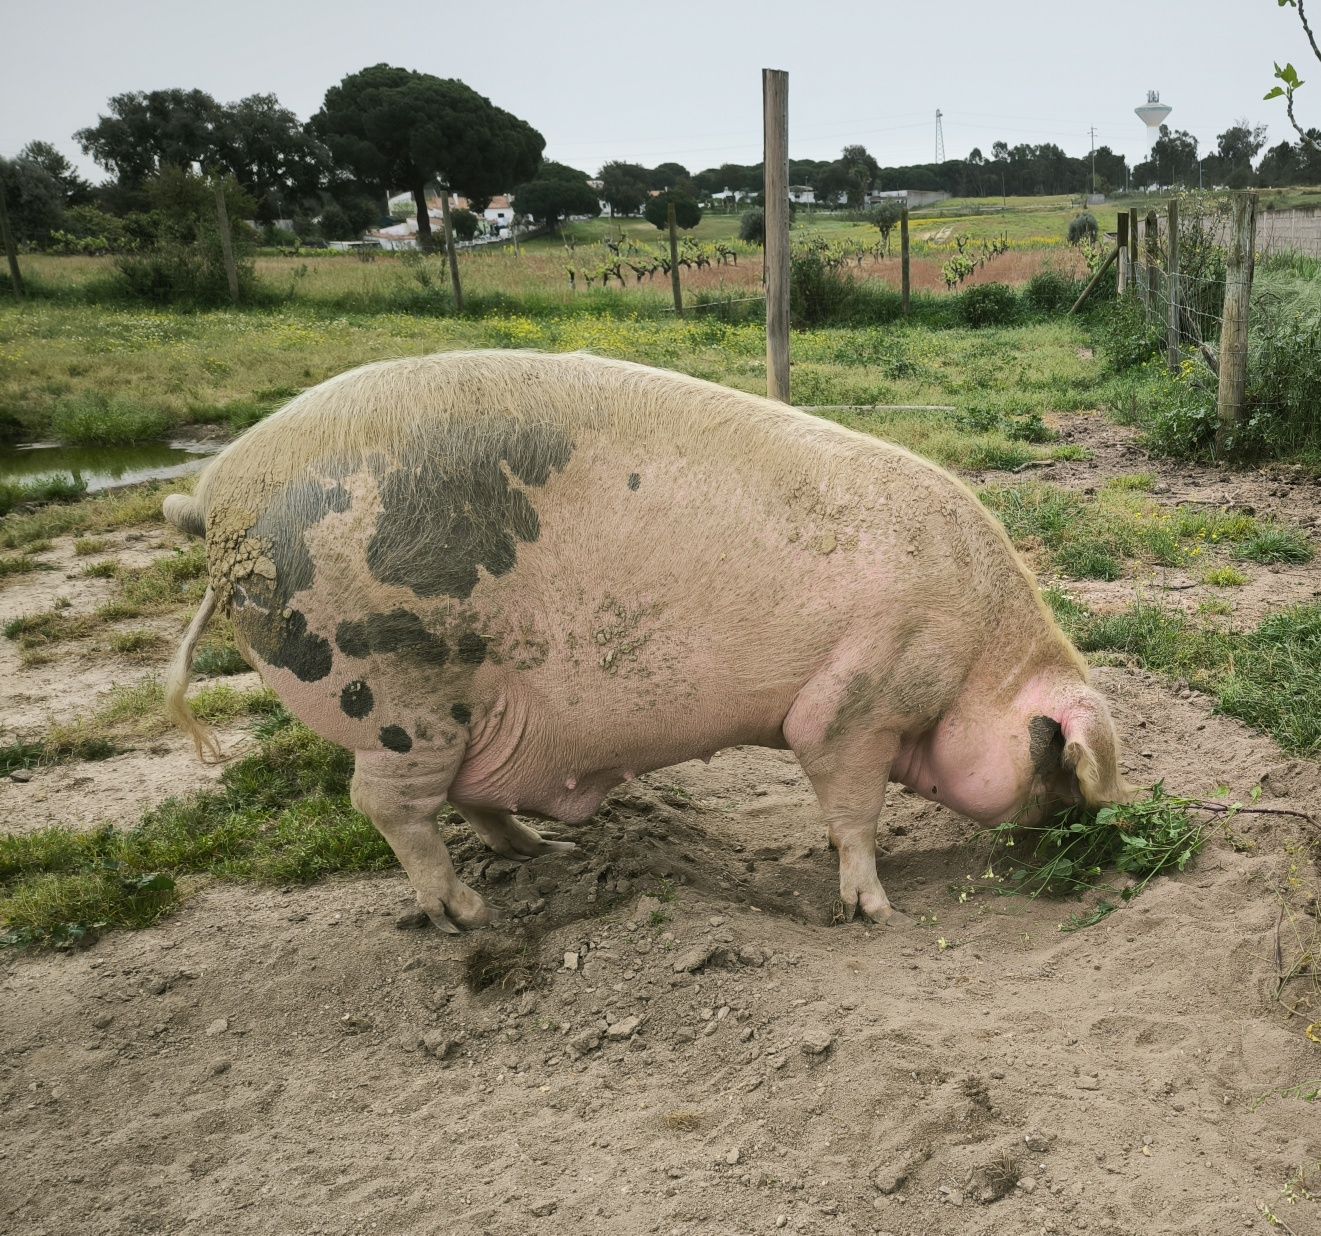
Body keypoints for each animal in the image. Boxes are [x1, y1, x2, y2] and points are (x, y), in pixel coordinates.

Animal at [162, 348, 1136, 929]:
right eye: (1057, 770)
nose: (1059, 846)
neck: (975, 667)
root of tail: (212, 501)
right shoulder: (853, 704)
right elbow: (851, 804)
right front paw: (876, 911)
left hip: (470, 712)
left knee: (467, 797)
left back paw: (545, 853)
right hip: (399, 695)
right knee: (387, 807)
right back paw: (469, 915)